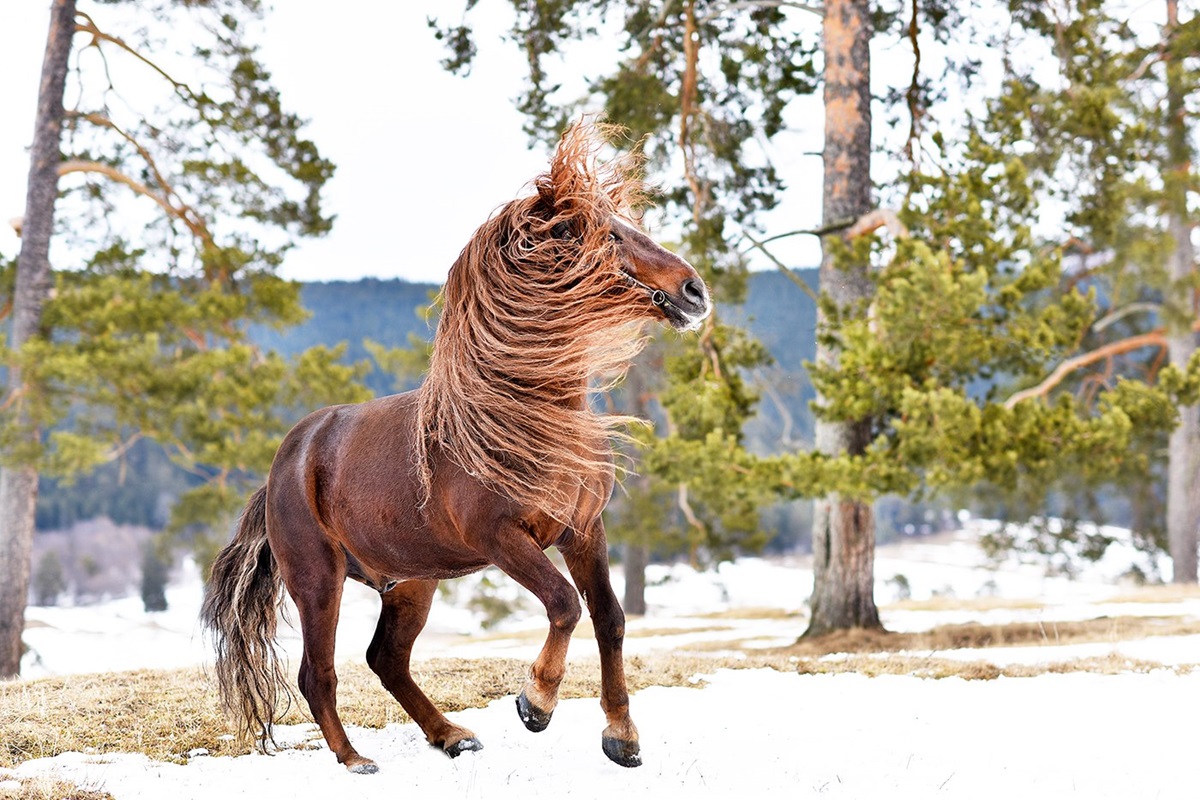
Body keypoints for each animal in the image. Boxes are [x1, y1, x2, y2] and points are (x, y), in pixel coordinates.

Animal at [202, 122, 710, 772]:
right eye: (602, 234)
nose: (694, 290)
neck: (519, 418)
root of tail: (286, 463)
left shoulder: (583, 532)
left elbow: (610, 619)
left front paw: (621, 737)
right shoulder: (502, 539)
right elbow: (565, 605)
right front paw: (535, 703)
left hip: (410, 582)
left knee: (386, 660)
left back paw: (451, 736)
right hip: (319, 582)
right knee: (318, 674)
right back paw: (355, 759)